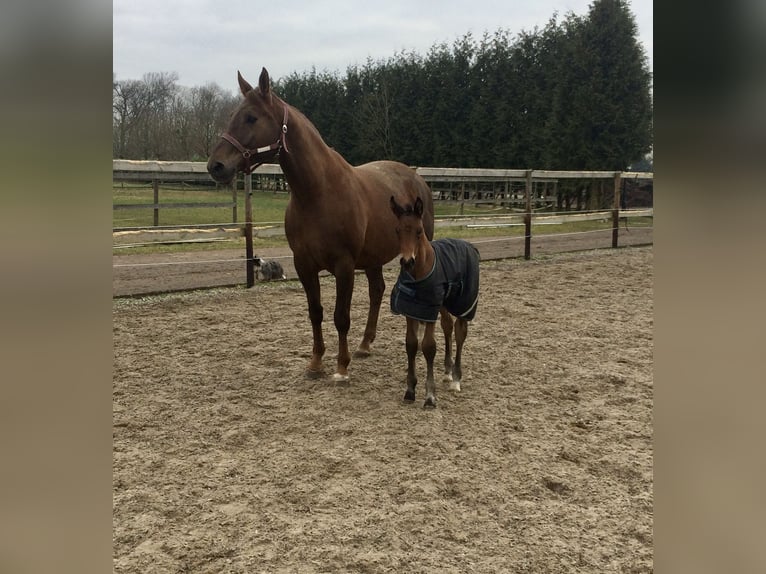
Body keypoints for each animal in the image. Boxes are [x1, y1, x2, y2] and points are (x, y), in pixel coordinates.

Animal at [207, 68, 435, 381]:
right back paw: (365, 344)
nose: (215, 166)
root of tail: (416, 178)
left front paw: (341, 366)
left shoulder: (344, 265)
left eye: (251, 117)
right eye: (233, 115)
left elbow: (341, 317)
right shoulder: (304, 264)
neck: (318, 193)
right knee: (376, 291)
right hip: (373, 257)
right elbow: (315, 311)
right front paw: (315, 363)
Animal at [389, 195, 480, 408]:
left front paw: (430, 396)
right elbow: (411, 344)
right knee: (448, 326)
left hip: (463, 304)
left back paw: (456, 379)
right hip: (444, 304)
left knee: (460, 333)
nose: (407, 261)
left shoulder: (428, 311)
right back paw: (447, 372)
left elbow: (428, 347)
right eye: (397, 230)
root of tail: (468, 245)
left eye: (419, 231)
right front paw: (410, 390)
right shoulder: (412, 311)